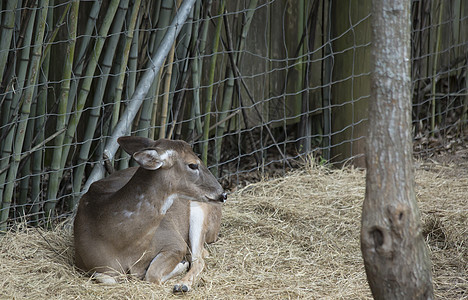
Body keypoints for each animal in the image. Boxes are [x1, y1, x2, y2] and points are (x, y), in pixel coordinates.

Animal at [73, 137, 227, 292]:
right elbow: (106, 278)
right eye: (193, 165)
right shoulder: (85, 264)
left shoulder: (175, 242)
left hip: (201, 211)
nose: (223, 194)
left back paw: (182, 285)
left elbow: (151, 275)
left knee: (200, 258)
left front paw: (181, 266)